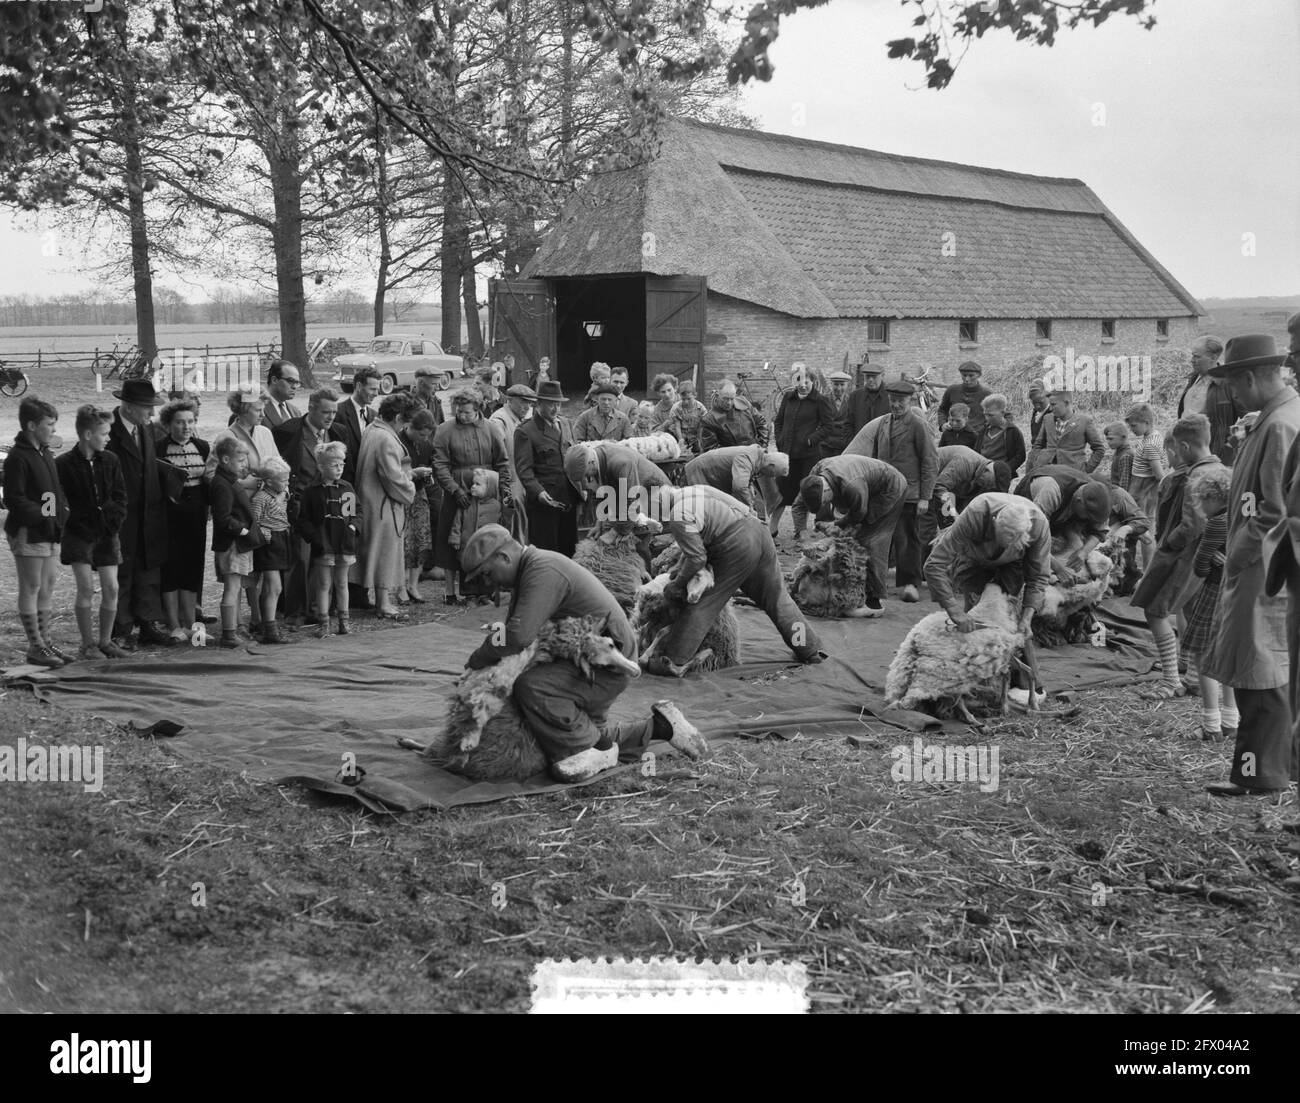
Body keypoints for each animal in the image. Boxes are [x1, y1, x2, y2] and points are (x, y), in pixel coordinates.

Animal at [883, 577, 1024, 723]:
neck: (990, 611)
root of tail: (917, 641)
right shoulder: (1005, 658)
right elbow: (1006, 681)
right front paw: (1003, 709)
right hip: (937, 676)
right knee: (908, 701)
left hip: (901, 672)